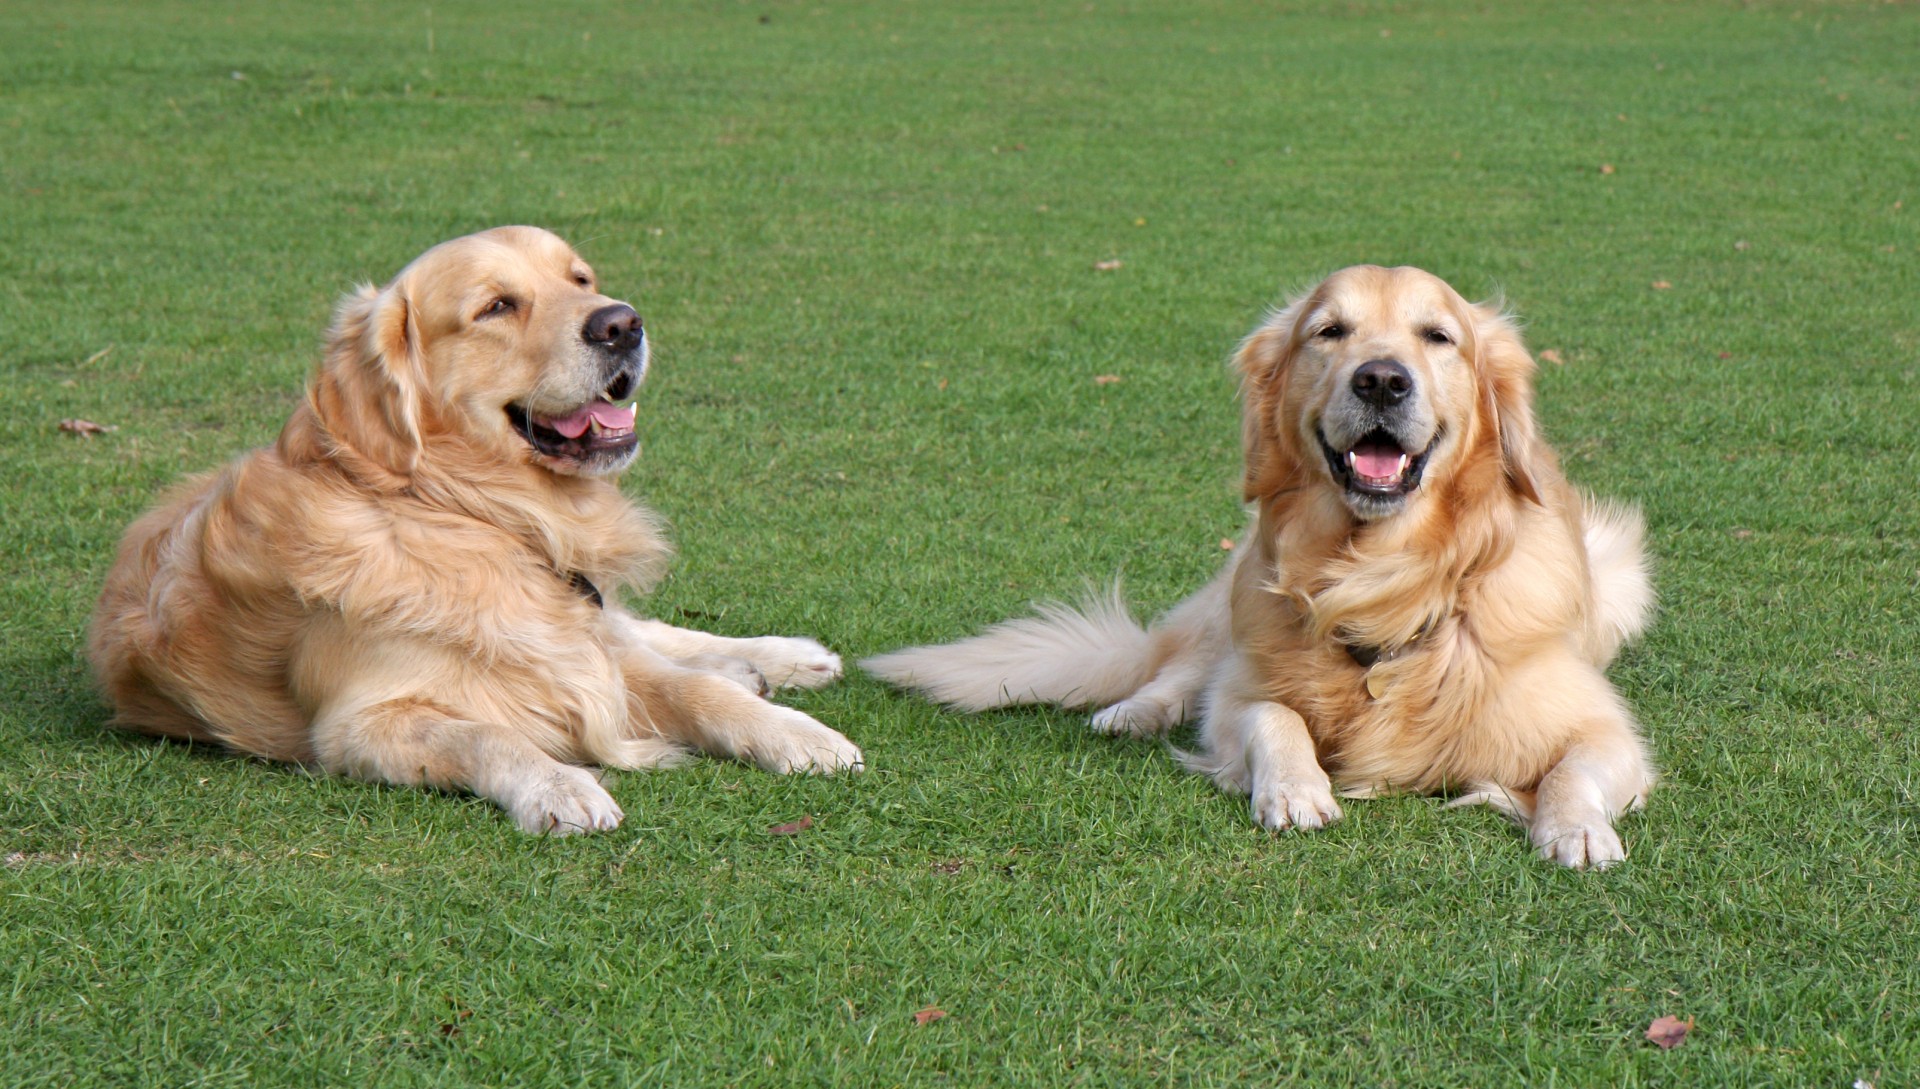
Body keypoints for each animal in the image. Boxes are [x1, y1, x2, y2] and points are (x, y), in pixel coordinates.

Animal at [93, 223, 860, 833]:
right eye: (496, 307)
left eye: (580, 278)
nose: (622, 323)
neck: (473, 514)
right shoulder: (359, 723)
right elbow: (488, 734)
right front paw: (561, 785)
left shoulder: (580, 649)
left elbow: (692, 690)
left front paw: (798, 735)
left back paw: (781, 657)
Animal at [879, 266, 1658, 868]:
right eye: (1329, 331)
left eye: (1439, 337)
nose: (1381, 380)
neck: (1383, 578)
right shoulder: (1244, 687)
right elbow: (1268, 716)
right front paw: (1294, 787)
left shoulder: (1602, 726)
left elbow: (1575, 769)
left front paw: (1578, 829)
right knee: (1177, 675)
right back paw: (1129, 711)